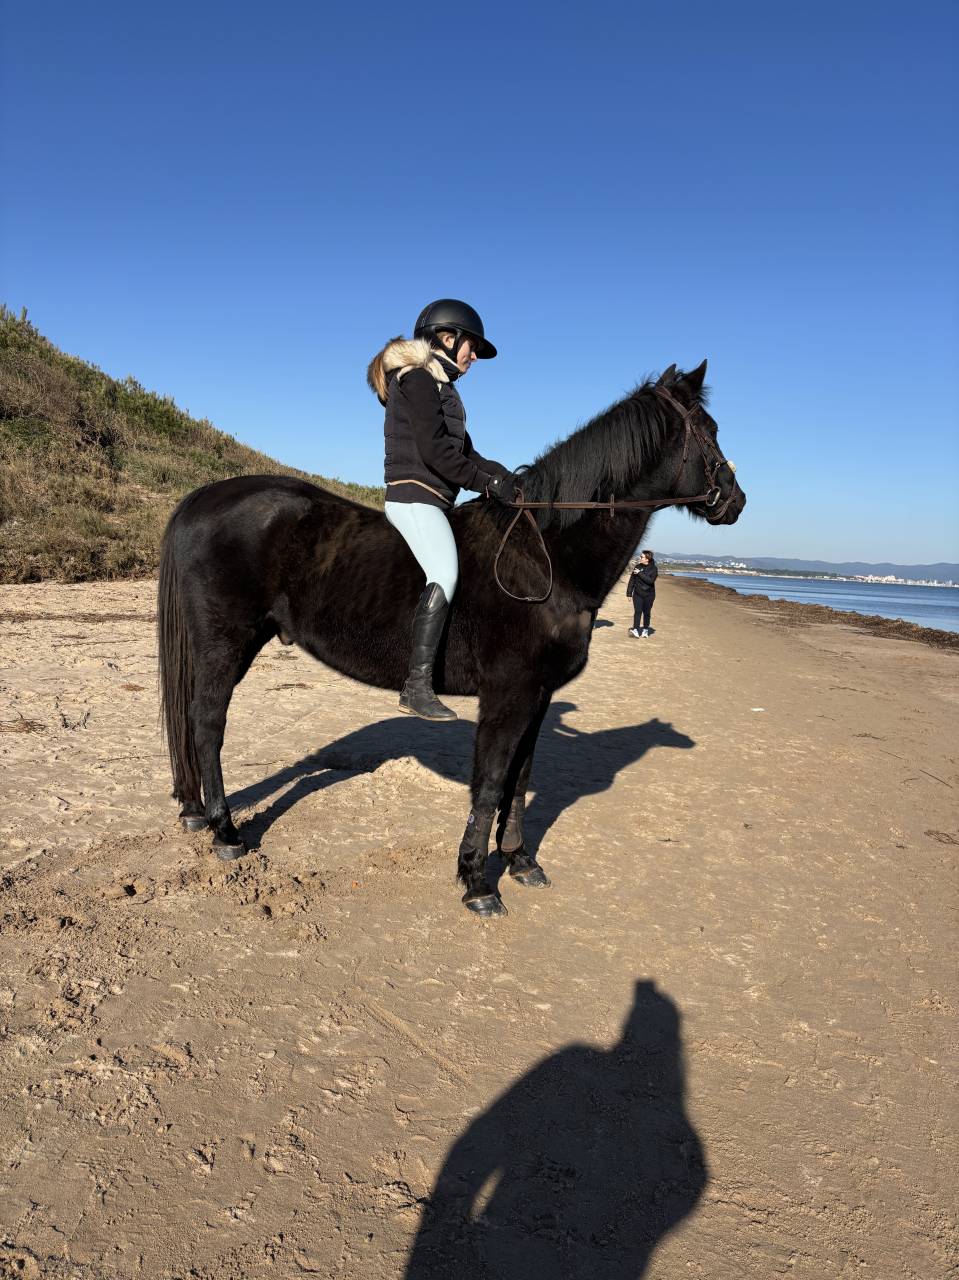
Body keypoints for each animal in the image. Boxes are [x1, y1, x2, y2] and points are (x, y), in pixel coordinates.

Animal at [157, 359, 745, 918]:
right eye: (708, 430)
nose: (735, 501)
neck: (546, 554)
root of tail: (203, 497)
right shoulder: (507, 696)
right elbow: (490, 783)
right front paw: (477, 882)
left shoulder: (536, 696)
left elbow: (519, 780)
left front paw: (520, 861)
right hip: (226, 644)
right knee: (206, 724)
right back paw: (225, 831)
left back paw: (195, 813)